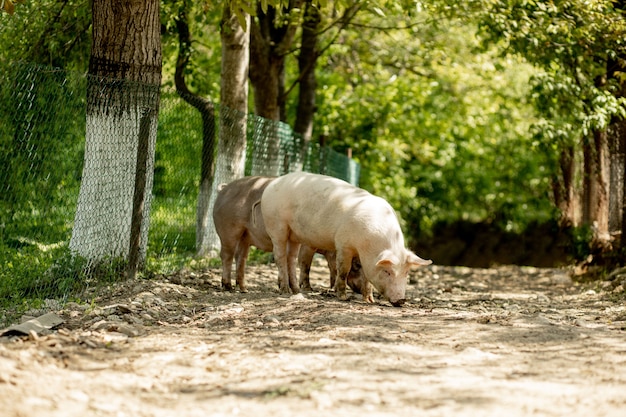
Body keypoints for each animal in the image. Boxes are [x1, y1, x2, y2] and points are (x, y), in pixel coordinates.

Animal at [212, 175, 364, 292]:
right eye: (357, 264)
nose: (360, 290)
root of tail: (224, 188)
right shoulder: (308, 246)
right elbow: (305, 263)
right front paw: (308, 289)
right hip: (228, 230)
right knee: (226, 255)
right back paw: (228, 287)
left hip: (245, 236)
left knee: (241, 258)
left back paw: (244, 289)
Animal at [258, 170, 428, 306]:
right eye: (387, 271)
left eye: (406, 273)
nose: (401, 300)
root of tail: (271, 184)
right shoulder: (343, 244)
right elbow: (342, 269)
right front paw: (343, 297)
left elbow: (366, 277)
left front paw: (369, 300)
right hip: (276, 225)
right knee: (279, 256)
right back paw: (286, 290)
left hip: (294, 235)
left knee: (291, 258)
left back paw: (296, 290)